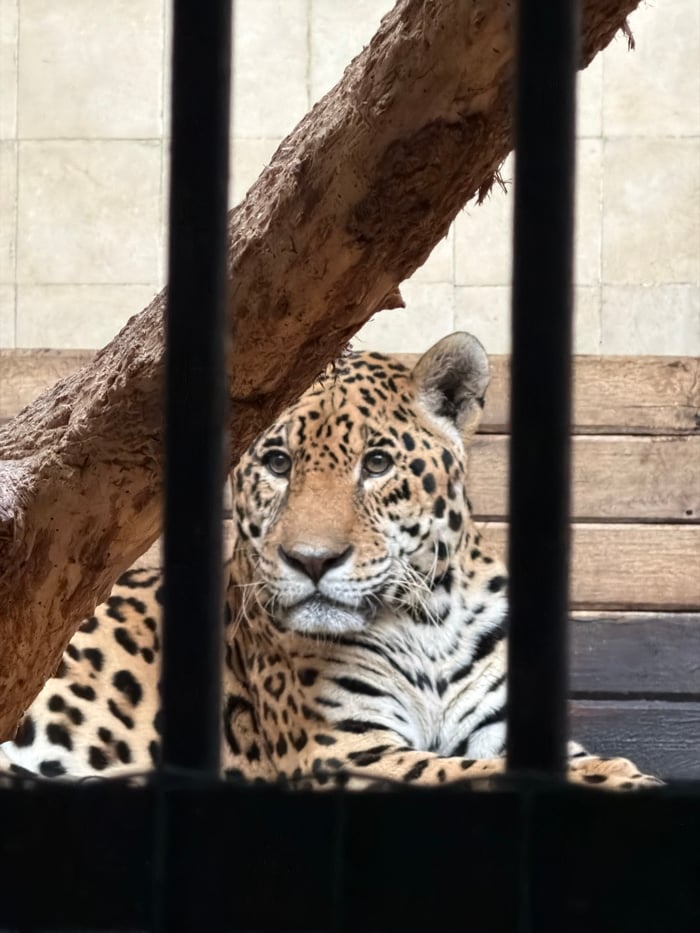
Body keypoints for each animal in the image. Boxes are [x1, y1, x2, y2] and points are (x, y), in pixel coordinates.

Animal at [0, 333, 660, 791]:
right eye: (277, 463)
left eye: (376, 464)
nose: (312, 562)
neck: (428, 625)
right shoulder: (342, 752)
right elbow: (461, 772)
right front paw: (619, 778)